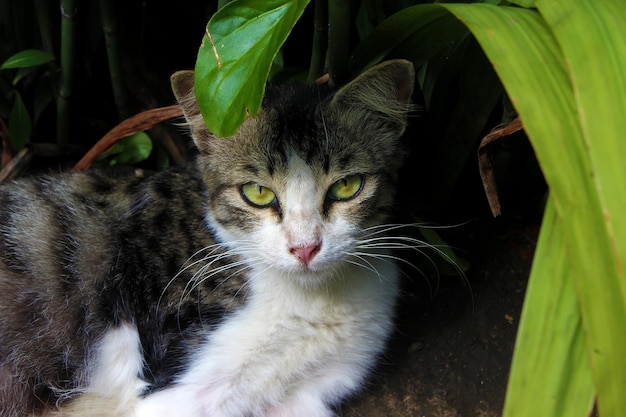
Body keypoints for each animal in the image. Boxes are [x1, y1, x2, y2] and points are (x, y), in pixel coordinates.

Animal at [0, 59, 414, 416]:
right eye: (256, 192)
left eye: (347, 186)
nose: (305, 248)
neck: (315, 298)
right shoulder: (167, 388)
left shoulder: (308, 395)